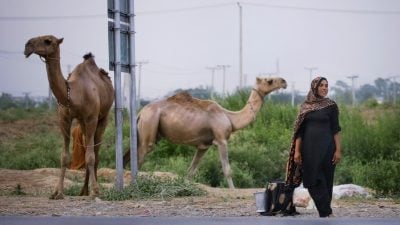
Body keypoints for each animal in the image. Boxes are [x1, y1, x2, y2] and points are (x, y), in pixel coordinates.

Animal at [23, 35, 114, 199]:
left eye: (48, 41)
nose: (27, 46)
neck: (74, 94)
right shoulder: (64, 119)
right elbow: (65, 157)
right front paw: (57, 192)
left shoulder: (91, 118)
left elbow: (90, 156)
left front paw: (96, 191)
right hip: (82, 122)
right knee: (88, 148)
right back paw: (83, 191)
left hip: (103, 117)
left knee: (96, 152)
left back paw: (93, 189)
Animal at [123, 77, 286, 188]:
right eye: (269, 80)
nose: (284, 81)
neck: (230, 117)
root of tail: (140, 113)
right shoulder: (221, 139)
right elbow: (227, 170)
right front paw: (233, 189)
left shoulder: (203, 146)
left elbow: (191, 171)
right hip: (150, 124)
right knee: (141, 155)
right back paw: (135, 185)